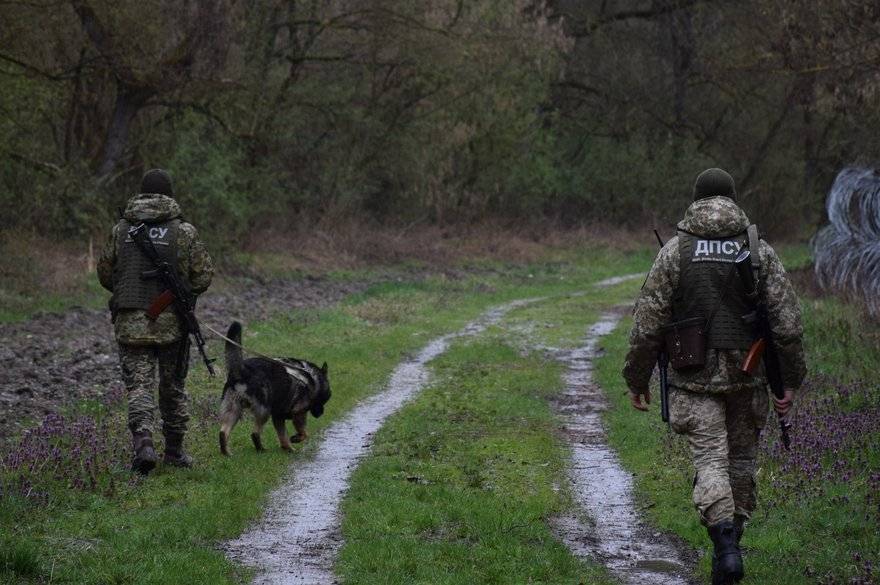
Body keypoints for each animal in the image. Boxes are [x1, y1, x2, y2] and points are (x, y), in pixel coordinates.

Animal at [218, 322, 332, 454]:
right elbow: (304, 432)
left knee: (223, 432)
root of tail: (242, 371)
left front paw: (288, 448)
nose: (321, 414)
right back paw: (261, 450)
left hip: (233, 410)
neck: (313, 379)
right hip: (264, 411)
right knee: (254, 433)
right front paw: (296, 439)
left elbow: (283, 436)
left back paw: (226, 452)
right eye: (326, 398)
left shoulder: (278, 416)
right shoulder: (298, 413)